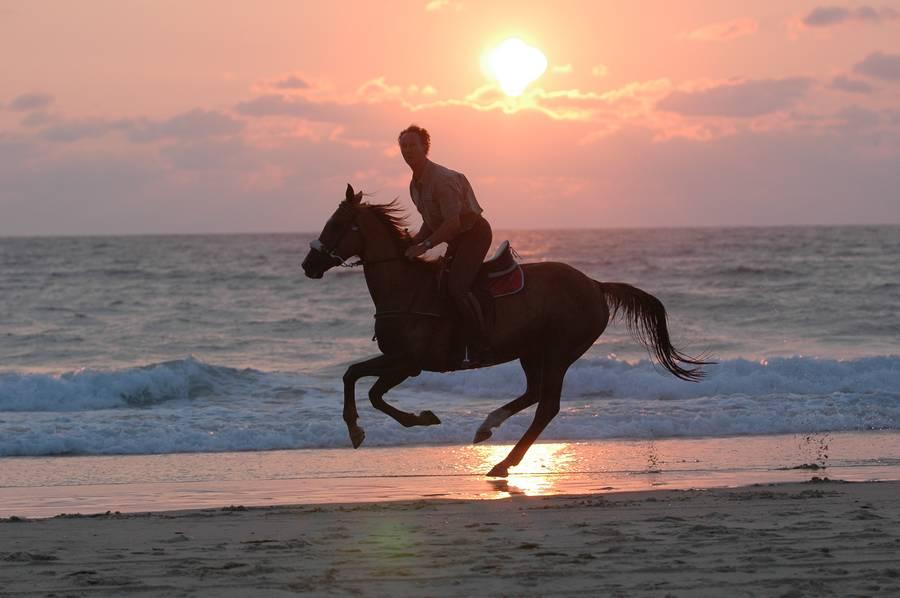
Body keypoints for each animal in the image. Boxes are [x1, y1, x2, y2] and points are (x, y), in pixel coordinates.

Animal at [302, 185, 712, 480]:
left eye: (336, 224)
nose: (308, 265)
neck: (406, 288)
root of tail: (595, 285)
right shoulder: (400, 360)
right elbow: (354, 377)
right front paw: (366, 428)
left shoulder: (409, 362)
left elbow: (369, 388)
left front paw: (404, 421)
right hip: (530, 351)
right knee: (533, 393)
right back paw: (489, 428)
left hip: (559, 351)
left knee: (547, 405)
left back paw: (503, 462)